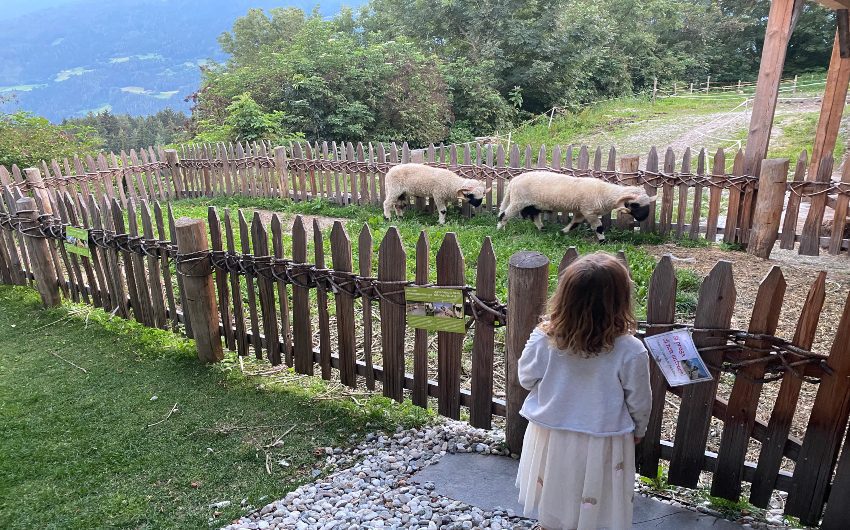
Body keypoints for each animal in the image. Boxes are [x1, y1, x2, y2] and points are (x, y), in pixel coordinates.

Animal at [494, 170, 652, 242]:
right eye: (635, 205)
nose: (644, 218)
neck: (604, 193)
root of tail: (513, 181)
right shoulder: (589, 211)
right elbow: (598, 227)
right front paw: (602, 241)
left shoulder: (582, 211)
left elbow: (575, 223)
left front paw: (563, 232)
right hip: (518, 201)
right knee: (504, 214)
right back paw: (500, 228)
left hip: (532, 204)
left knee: (534, 216)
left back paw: (542, 229)